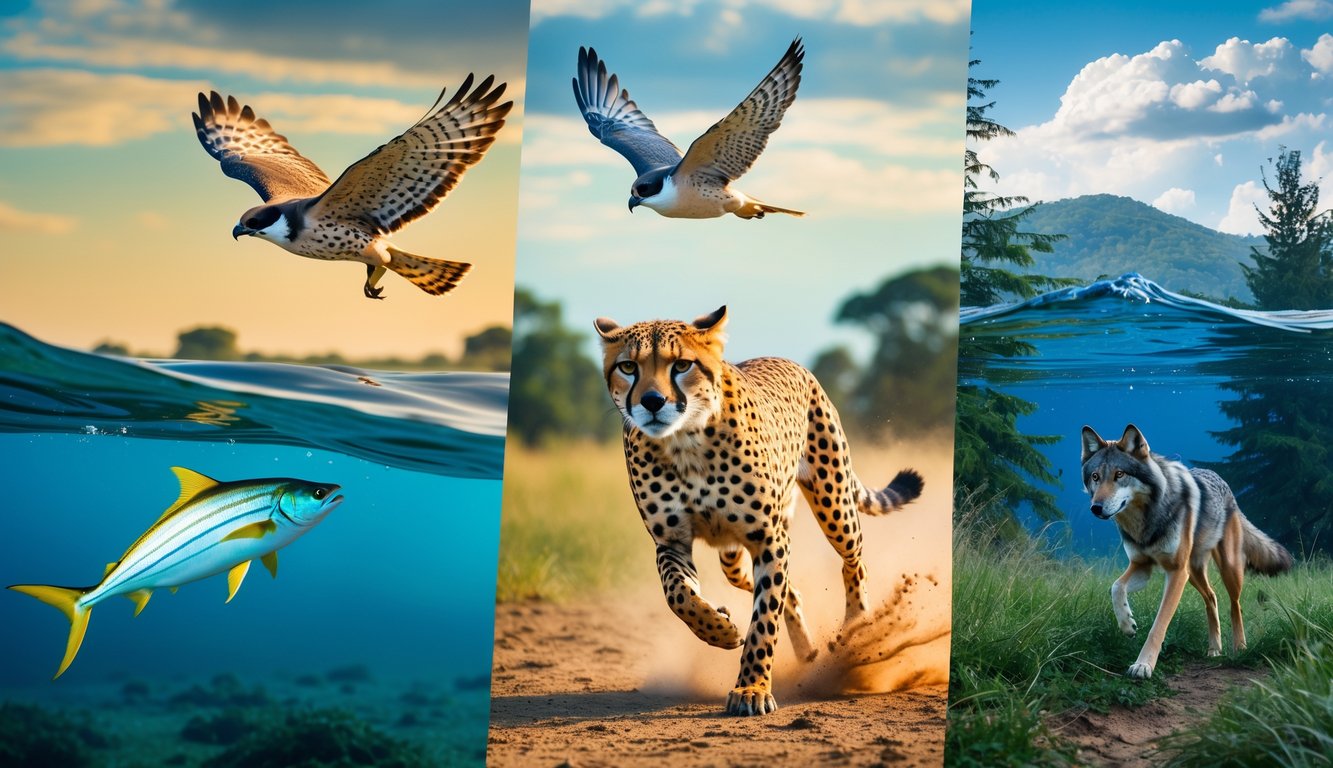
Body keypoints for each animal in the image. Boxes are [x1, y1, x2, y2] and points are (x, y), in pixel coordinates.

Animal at [594, 305, 924, 716]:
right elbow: (679, 596)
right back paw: (808, 650)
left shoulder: (768, 539)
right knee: (788, 590)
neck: (685, 441)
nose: (652, 401)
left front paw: (752, 688)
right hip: (733, 557)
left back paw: (855, 631)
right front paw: (720, 629)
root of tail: (791, 362)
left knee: (853, 562)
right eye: (628, 367)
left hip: (834, 504)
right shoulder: (671, 541)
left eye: (682, 364)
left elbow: (765, 619)